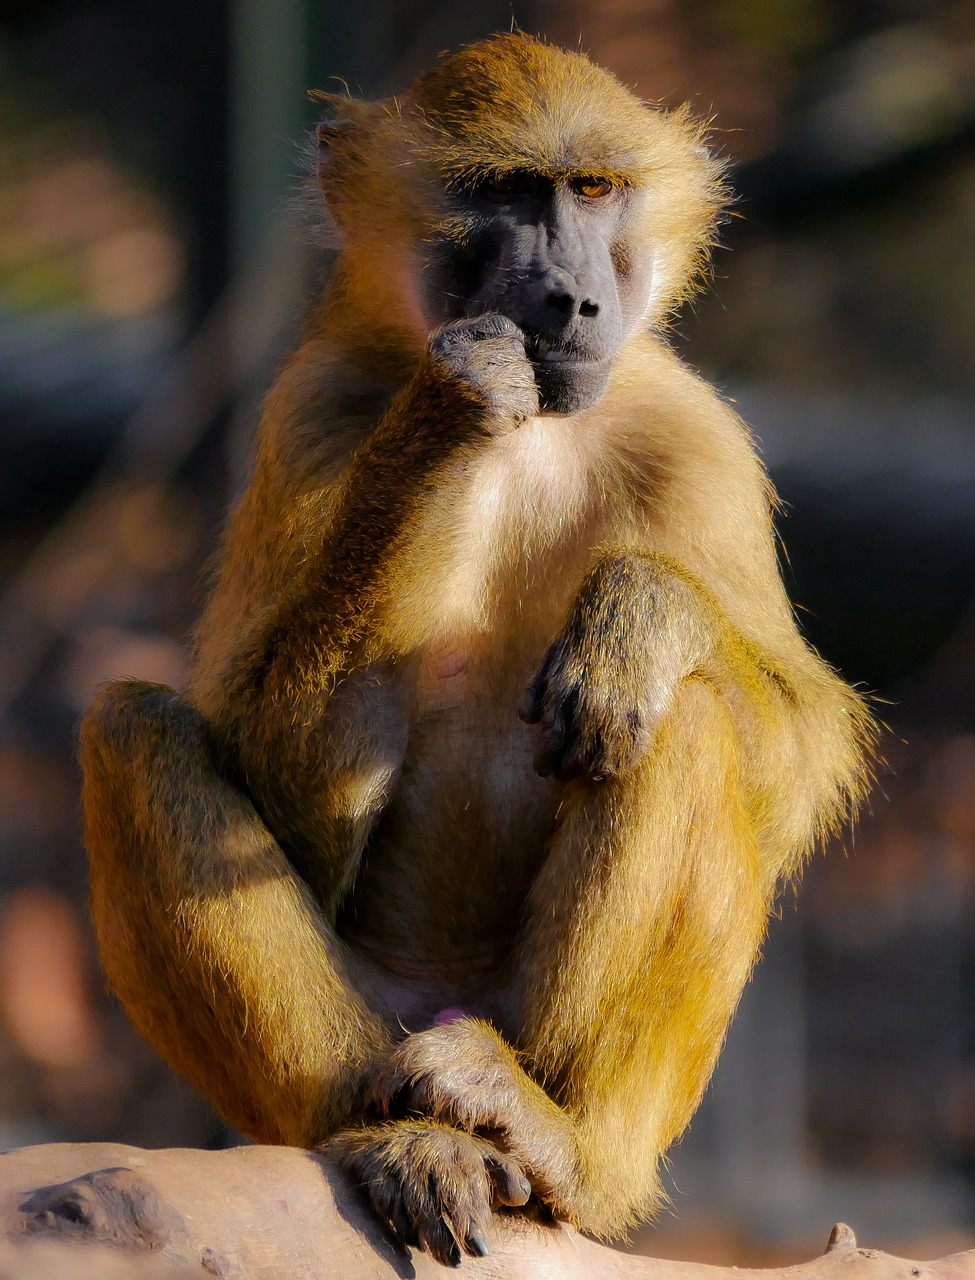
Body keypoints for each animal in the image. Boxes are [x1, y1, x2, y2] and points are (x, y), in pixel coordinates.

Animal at [79, 32, 870, 1269]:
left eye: (592, 189)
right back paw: (389, 1134)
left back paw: (553, 1142)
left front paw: (639, 613)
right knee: (130, 730)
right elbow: (284, 791)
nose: (570, 297)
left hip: (533, 1028)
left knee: (675, 716)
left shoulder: (698, 440)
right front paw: (448, 409)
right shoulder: (310, 414)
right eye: (503, 191)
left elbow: (797, 750)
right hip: (374, 1022)